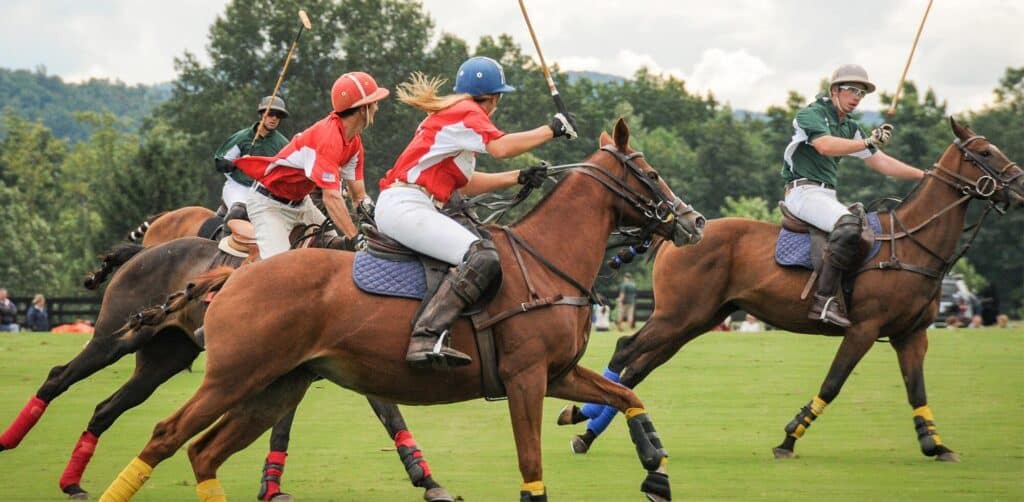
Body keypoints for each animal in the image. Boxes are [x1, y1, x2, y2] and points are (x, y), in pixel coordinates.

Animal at [3, 234, 452, 497]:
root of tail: (143, 250)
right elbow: (288, 423)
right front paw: (271, 486)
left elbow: (388, 414)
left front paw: (427, 479)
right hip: (112, 340)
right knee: (59, 377)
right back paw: (12, 442)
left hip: (163, 360)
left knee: (106, 407)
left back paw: (72, 481)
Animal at [96, 118, 704, 501]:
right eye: (649, 172)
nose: (694, 222)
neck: (547, 260)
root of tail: (232, 277)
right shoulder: (526, 378)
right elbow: (532, 469)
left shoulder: (556, 373)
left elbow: (628, 395)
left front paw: (655, 470)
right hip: (231, 376)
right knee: (166, 435)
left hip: (276, 386)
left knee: (203, 453)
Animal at [561, 117, 1024, 463]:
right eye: (985, 153)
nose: (1020, 186)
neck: (912, 243)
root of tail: (677, 236)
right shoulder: (865, 328)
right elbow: (833, 383)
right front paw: (788, 438)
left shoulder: (912, 334)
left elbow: (917, 389)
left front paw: (935, 444)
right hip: (677, 314)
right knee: (626, 349)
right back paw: (582, 418)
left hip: (696, 320)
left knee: (641, 365)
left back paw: (587, 428)